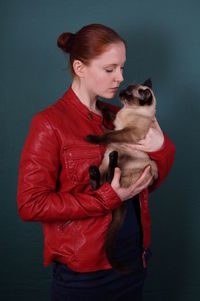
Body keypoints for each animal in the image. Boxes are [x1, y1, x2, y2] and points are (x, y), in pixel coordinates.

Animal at [86, 78, 158, 274]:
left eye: (128, 94)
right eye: (125, 89)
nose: (120, 93)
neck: (129, 110)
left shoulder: (127, 133)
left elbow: (107, 134)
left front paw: (92, 137)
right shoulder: (118, 123)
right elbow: (110, 117)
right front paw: (102, 108)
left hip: (135, 163)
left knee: (111, 180)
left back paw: (112, 161)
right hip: (104, 163)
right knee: (101, 185)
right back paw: (95, 172)